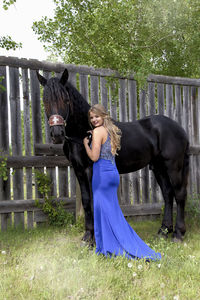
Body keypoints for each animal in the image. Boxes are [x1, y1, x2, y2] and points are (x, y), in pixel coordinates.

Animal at [37, 69, 189, 243]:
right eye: (45, 100)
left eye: (66, 99)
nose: (57, 134)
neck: (84, 132)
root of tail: (180, 129)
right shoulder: (79, 170)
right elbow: (87, 201)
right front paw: (87, 237)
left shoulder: (90, 169)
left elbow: (94, 200)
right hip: (159, 168)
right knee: (168, 194)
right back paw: (163, 231)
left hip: (173, 167)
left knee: (179, 194)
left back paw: (178, 234)